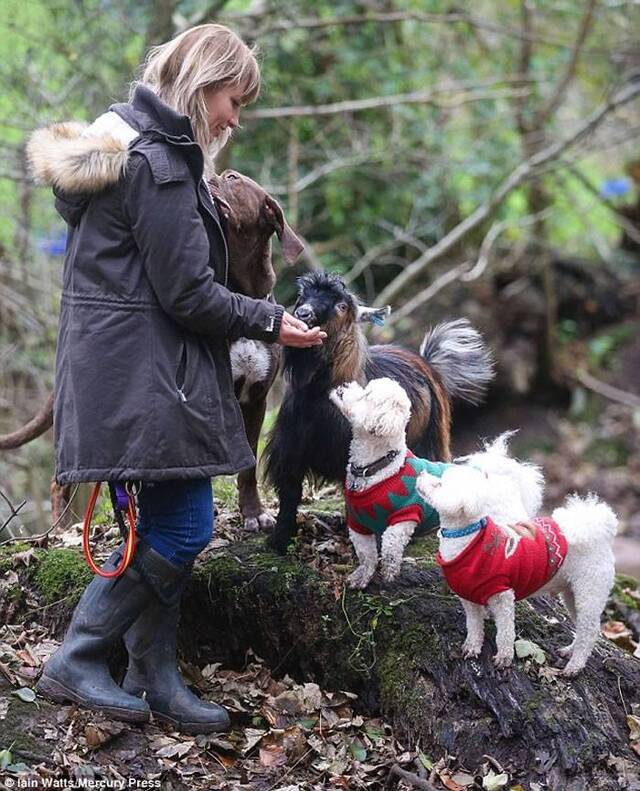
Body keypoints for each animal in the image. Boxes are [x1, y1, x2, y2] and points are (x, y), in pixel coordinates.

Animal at [0, 172, 304, 532]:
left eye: (232, 178)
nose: (210, 176)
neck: (239, 291)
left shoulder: (255, 398)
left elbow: (248, 467)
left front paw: (253, 512)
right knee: (62, 480)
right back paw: (62, 530)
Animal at [262, 272, 492, 556]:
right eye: (301, 296)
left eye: (342, 306)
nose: (303, 314)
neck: (317, 398)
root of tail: (427, 361)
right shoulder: (290, 449)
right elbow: (290, 492)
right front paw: (279, 540)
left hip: (431, 437)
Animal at [418, 460, 616, 676]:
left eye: (438, 484)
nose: (420, 474)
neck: (468, 539)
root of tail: (597, 533)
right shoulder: (469, 598)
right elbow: (474, 625)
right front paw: (472, 647)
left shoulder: (502, 596)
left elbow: (505, 632)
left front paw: (504, 658)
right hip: (571, 593)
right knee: (584, 628)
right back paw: (570, 651)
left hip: (590, 591)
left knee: (588, 630)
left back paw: (574, 665)